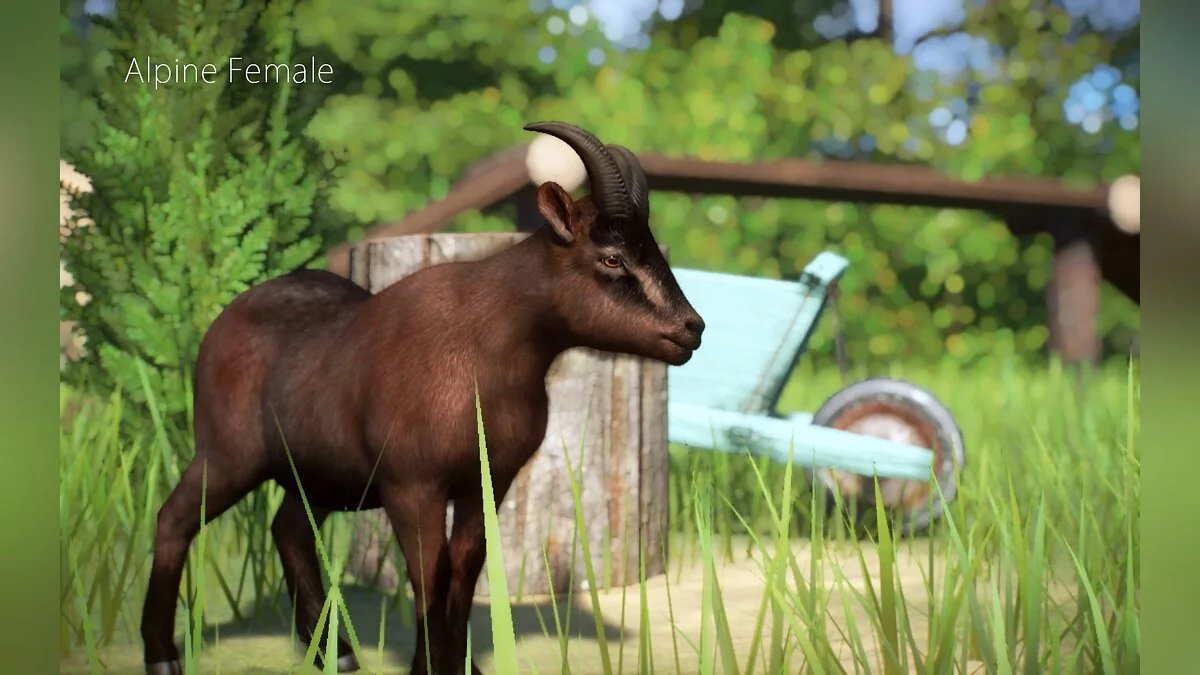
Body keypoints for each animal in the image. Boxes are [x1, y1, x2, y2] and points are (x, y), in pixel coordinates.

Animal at [140, 122, 706, 675]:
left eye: (653, 250)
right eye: (612, 257)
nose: (691, 329)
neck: (485, 345)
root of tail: (221, 324)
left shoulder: (486, 483)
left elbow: (463, 572)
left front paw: (460, 666)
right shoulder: (413, 486)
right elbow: (429, 577)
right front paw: (428, 666)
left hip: (320, 472)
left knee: (288, 529)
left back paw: (337, 653)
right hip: (228, 455)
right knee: (174, 517)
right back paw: (163, 656)